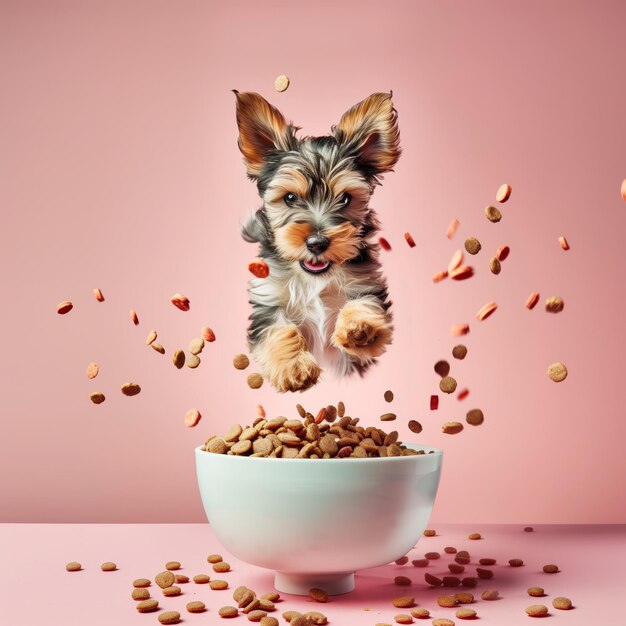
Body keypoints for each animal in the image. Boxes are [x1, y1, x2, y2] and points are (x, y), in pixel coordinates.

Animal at [234, 88, 400, 390]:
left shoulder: (366, 284)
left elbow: (364, 304)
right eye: (289, 197)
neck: (314, 280)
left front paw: (359, 328)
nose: (317, 243)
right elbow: (277, 328)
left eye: (345, 198)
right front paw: (294, 367)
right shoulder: (267, 300)